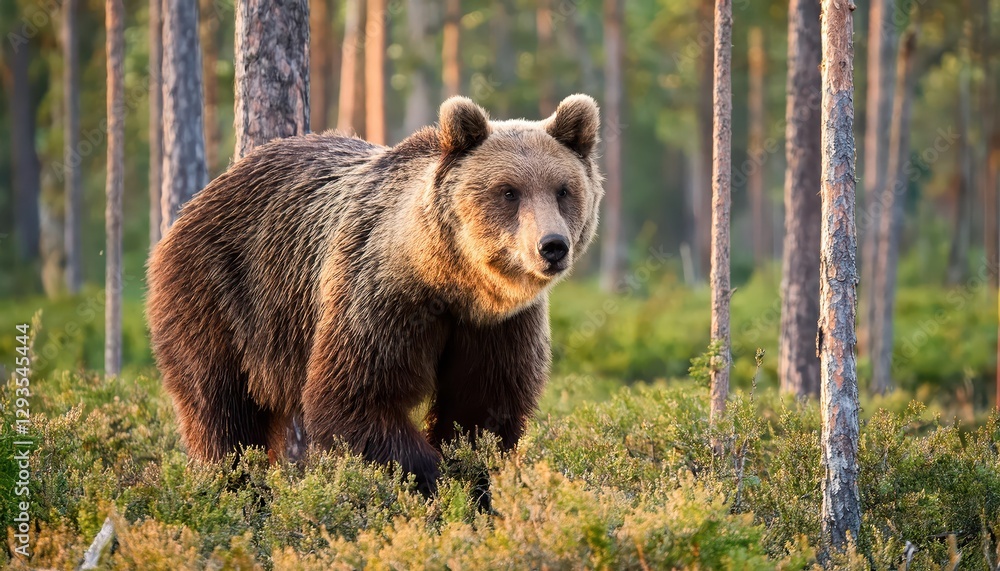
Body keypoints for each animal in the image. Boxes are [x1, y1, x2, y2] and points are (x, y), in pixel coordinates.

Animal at [146, 94, 603, 493]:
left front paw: (473, 484)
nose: (552, 246)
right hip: (220, 294)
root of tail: (201, 197)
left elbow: (482, 410)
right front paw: (433, 479)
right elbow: (355, 399)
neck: (452, 282)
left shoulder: (498, 326)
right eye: (509, 191)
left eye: (563, 189)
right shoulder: (380, 298)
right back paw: (236, 488)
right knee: (222, 411)